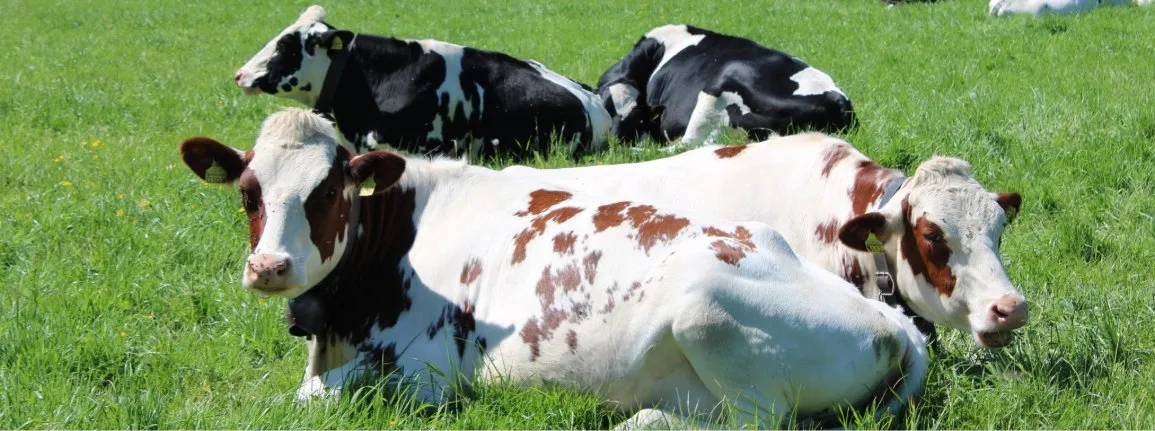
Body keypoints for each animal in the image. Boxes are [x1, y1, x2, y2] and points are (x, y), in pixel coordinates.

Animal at [178, 108, 928, 428]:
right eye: (248, 192)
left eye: (328, 190)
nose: (269, 266)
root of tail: (893, 323)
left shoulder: (426, 377)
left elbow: (305, 401)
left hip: (707, 311)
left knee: (756, 424)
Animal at [597, 24, 855, 150]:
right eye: (607, 112)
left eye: (638, 117)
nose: (614, 143)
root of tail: (840, 103)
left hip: (716, 89)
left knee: (684, 146)